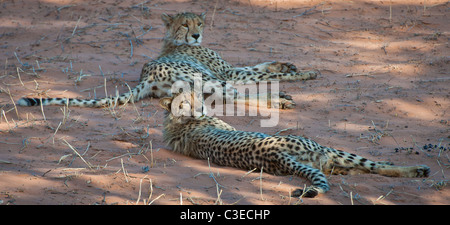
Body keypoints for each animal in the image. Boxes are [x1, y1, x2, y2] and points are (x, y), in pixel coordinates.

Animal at [17, 12, 318, 109]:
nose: (197, 34)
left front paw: (287, 64)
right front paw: (306, 73)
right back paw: (280, 100)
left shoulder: (231, 70)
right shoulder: (228, 74)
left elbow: (261, 65)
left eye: (198, 23)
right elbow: (266, 74)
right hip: (210, 79)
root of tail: (147, 75)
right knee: (236, 96)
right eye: (185, 24)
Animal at [160, 91, 430, 197]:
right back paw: (418, 170)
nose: (200, 107)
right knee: (370, 166)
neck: (176, 121)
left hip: (322, 160)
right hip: (325, 149)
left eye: (194, 97)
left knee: (350, 169)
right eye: (185, 102)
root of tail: (276, 155)